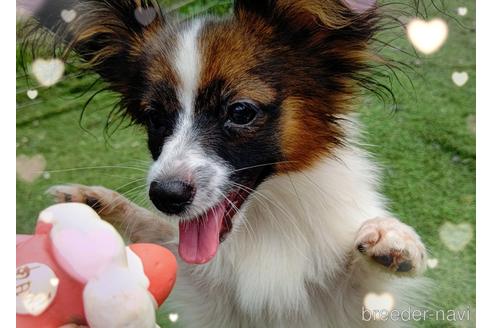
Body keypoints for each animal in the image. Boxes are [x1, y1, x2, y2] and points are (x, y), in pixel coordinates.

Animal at [32, 0, 428, 326]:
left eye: (240, 112)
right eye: (154, 117)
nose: (166, 196)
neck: (262, 225)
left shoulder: (343, 306)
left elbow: (364, 279)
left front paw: (394, 237)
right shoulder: (211, 296)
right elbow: (159, 238)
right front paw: (98, 204)